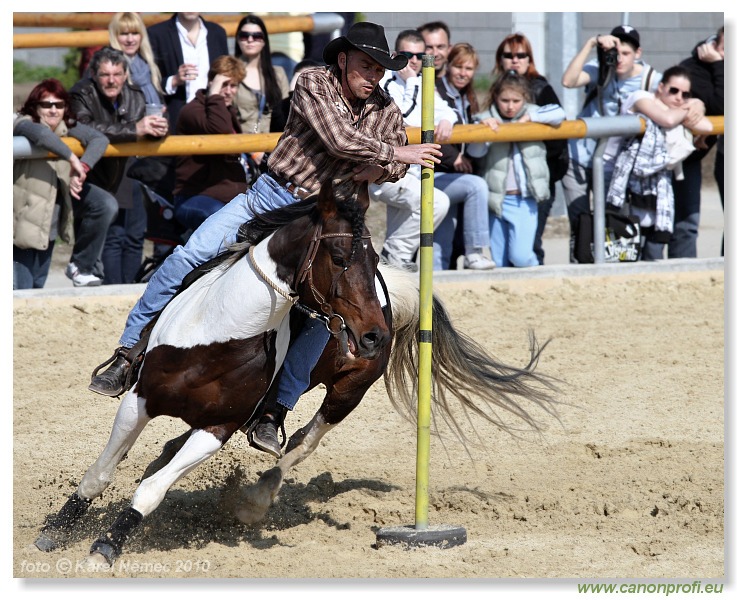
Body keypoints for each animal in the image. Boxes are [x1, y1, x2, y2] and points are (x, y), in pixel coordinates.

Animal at [34, 176, 556, 564]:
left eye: (373, 257)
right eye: (341, 257)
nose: (372, 336)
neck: (220, 330)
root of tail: (397, 294)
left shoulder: (217, 428)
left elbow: (151, 490)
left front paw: (107, 545)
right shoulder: (139, 399)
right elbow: (101, 472)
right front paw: (56, 530)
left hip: (347, 393)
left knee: (303, 443)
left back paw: (257, 495)